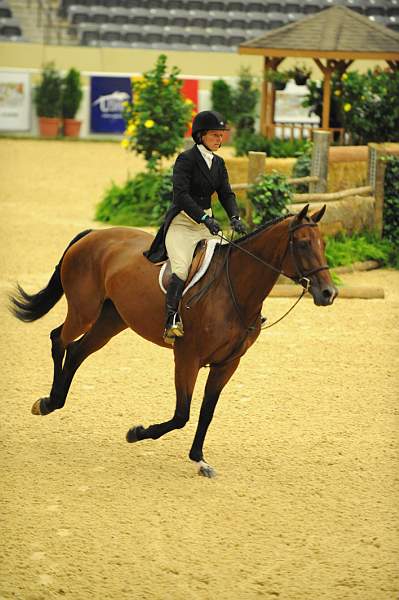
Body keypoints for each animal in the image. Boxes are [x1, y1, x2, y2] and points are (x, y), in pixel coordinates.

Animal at [10, 205, 338, 478]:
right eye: (303, 243)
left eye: (323, 244)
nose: (328, 293)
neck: (234, 290)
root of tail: (92, 235)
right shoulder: (187, 357)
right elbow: (182, 414)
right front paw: (137, 432)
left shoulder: (227, 364)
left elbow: (206, 413)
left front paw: (199, 459)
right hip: (84, 312)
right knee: (59, 340)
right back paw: (47, 402)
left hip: (111, 320)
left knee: (77, 351)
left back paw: (55, 401)